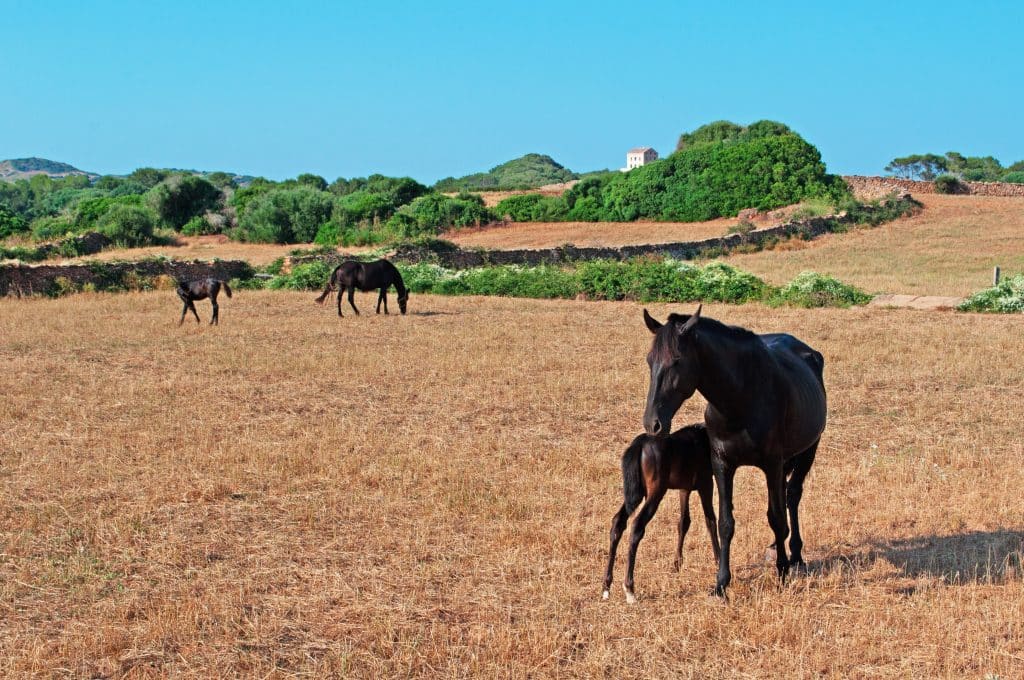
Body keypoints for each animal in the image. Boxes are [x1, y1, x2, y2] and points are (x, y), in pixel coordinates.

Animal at [603, 424, 721, 604]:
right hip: (655, 492)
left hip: (636, 493)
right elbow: (711, 521)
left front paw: (677, 563)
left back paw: (606, 587)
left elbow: (683, 523)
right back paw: (629, 589)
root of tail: (640, 443)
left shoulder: (684, 488)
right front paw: (719, 561)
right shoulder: (706, 483)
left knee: (618, 523)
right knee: (637, 526)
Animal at [642, 305, 826, 597]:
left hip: (809, 449)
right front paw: (721, 583)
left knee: (793, 495)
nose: (653, 423)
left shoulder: (772, 464)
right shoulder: (723, 464)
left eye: (677, 361)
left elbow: (776, 517)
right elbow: (725, 523)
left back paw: (795, 554)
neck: (740, 397)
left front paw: (782, 573)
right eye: (650, 361)